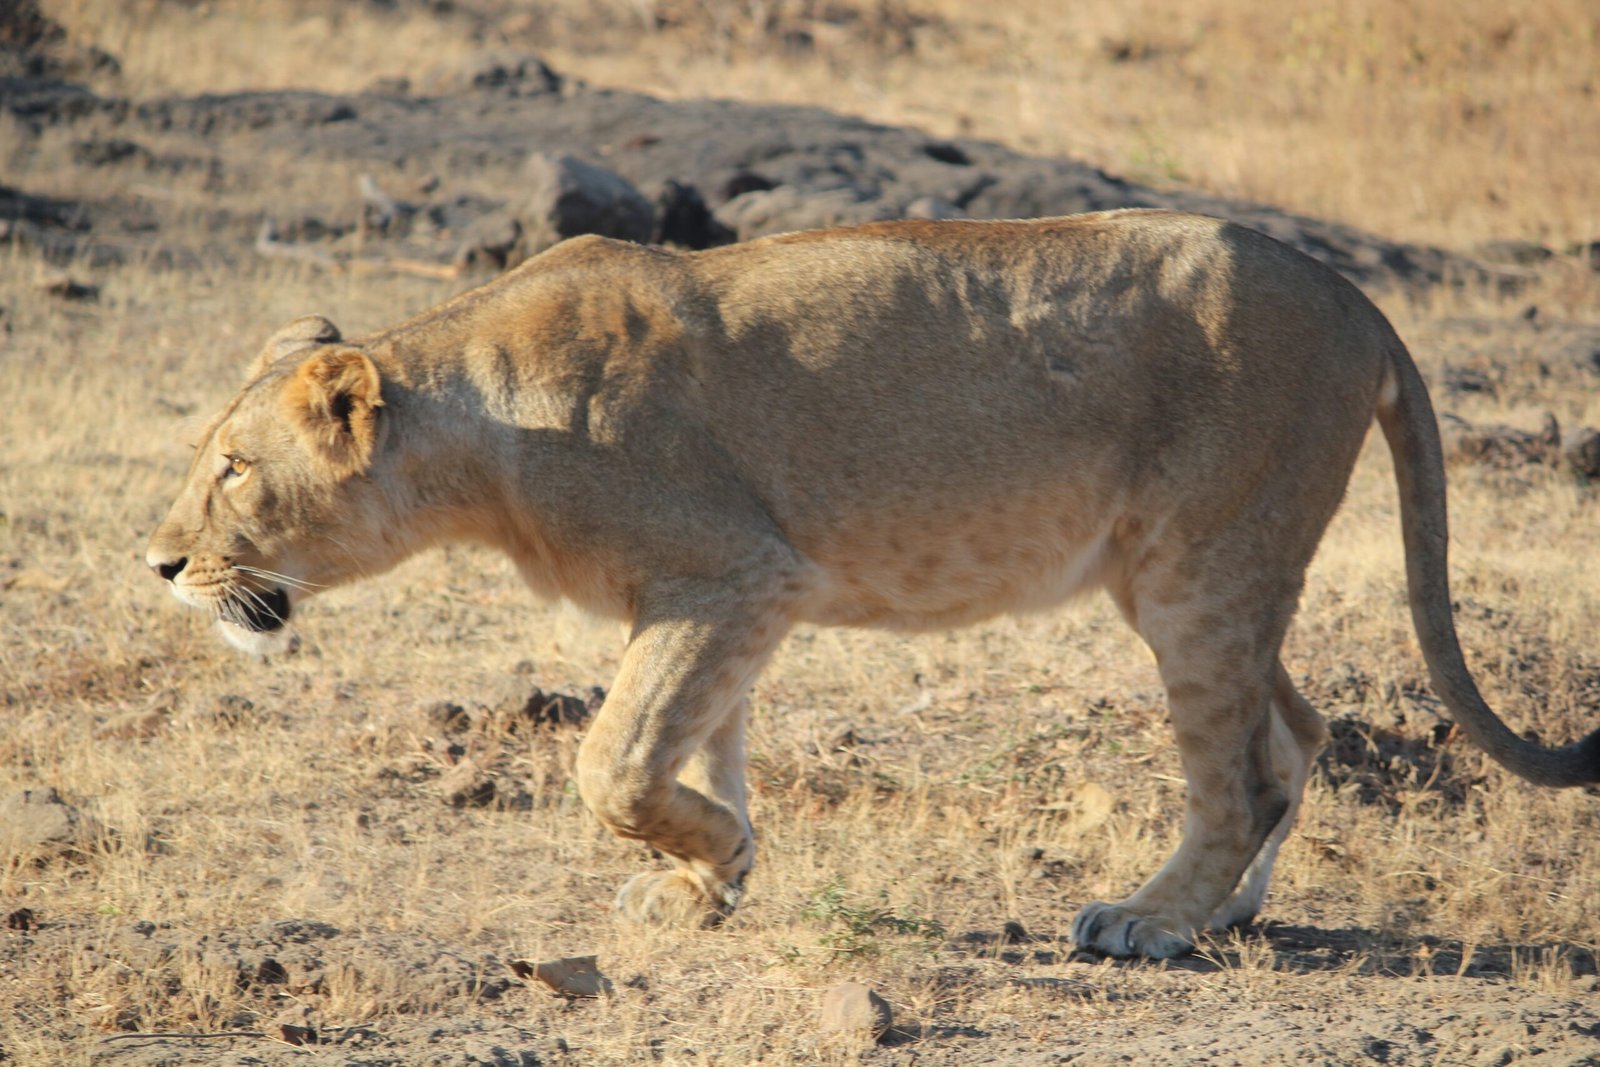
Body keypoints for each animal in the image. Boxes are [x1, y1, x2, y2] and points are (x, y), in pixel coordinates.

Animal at [146, 210, 1600, 958]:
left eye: (232, 469)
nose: (159, 563)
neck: (478, 426)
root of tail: (1358, 296)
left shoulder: (734, 571)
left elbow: (613, 759)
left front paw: (714, 862)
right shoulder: (725, 598)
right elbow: (698, 750)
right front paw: (707, 882)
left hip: (1199, 564)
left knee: (1237, 765)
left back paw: (1146, 919)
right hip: (1195, 571)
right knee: (1290, 729)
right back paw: (1228, 908)